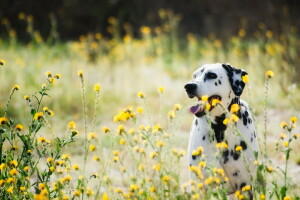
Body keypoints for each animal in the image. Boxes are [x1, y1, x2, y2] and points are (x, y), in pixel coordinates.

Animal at [184, 63, 258, 197]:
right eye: (194, 76)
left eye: (211, 75)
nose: (188, 86)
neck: (219, 128)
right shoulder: (201, 187)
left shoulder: (245, 186)